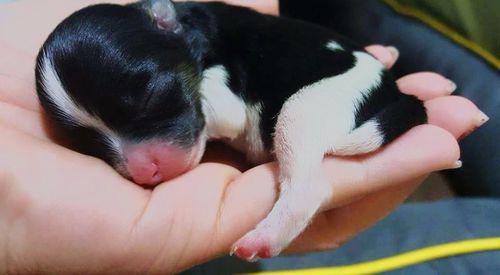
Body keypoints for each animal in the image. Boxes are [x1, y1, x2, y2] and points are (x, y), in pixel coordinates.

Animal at [35, 0, 426, 262]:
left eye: (150, 98)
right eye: (87, 142)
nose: (145, 173)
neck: (189, 31)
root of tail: (394, 92)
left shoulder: (225, 94)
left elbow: (223, 111)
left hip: (304, 107)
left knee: (308, 189)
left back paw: (263, 239)